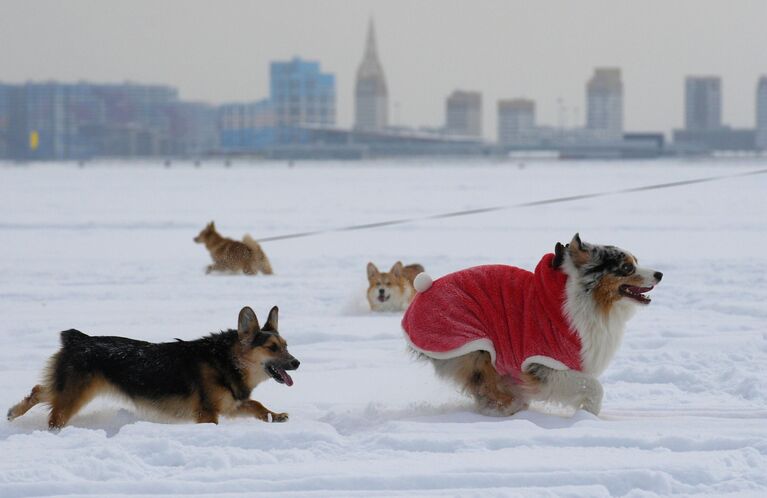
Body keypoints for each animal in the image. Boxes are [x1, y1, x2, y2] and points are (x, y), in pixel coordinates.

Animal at [9, 306, 304, 430]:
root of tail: (77, 339)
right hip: (75, 396)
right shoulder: (207, 412)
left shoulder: (231, 404)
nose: (297, 363)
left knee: (41, 390)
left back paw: (14, 412)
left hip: (69, 389)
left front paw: (275, 416)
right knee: (54, 415)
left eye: (286, 345)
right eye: (273, 348)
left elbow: (256, 406)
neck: (227, 360)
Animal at [404, 233, 664, 416]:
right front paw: (589, 415)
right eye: (627, 268)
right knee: (484, 384)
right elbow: (592, 386)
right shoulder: (544, 363)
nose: (659, 274)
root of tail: (421, 293)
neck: (588, 299)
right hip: (470, 344)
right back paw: (507, 407)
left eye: (636, 261)